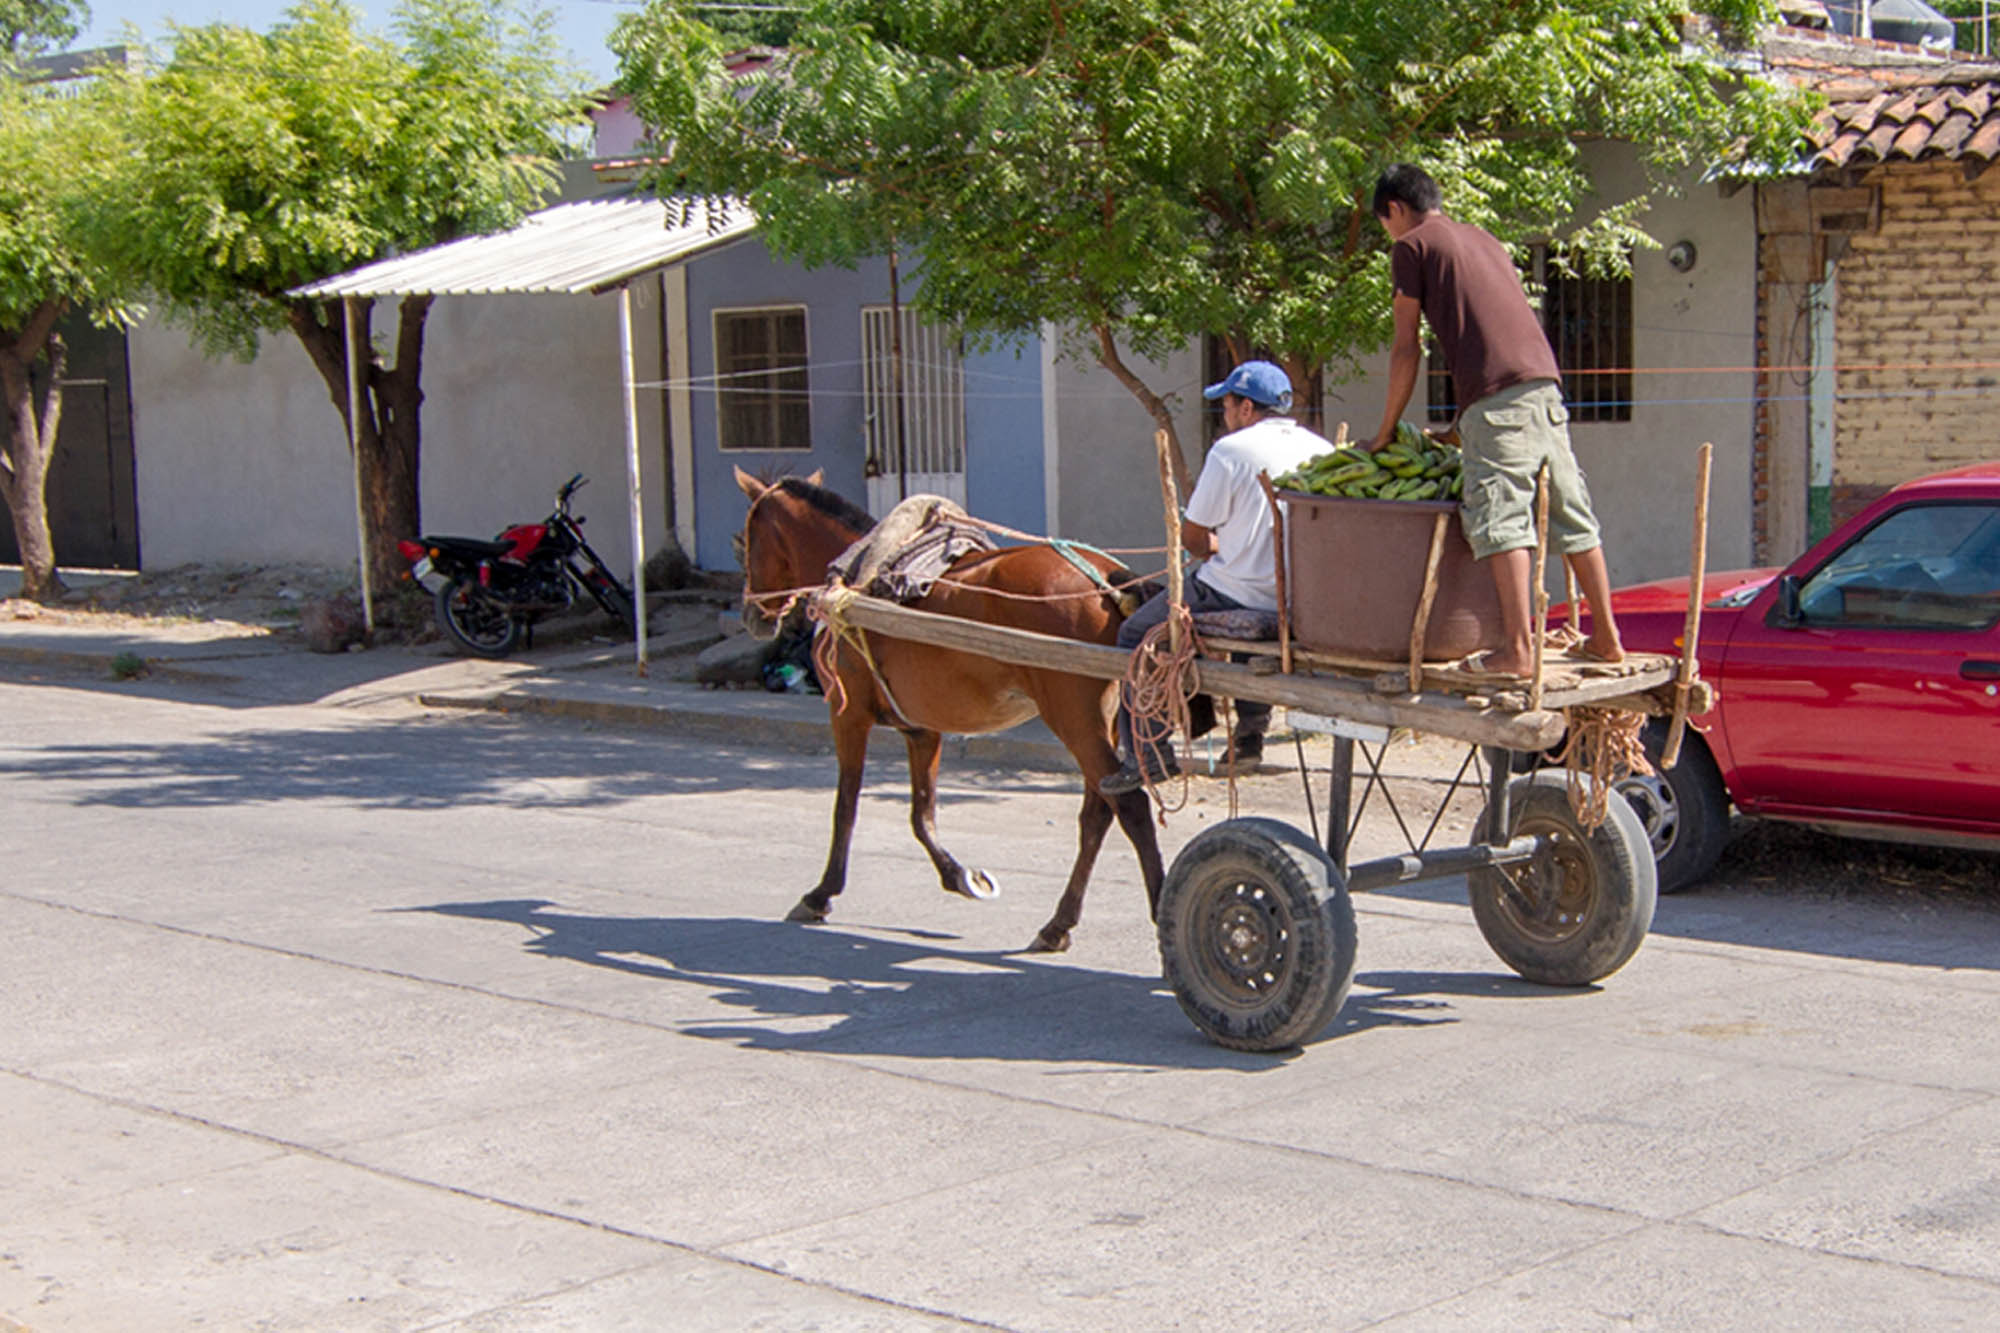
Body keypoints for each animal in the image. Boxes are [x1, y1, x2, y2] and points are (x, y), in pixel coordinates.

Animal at [736, 466, 1168, 944]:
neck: (856, 584)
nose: (752, 615)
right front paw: (959, 876)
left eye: (746, 540)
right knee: (1098, 813)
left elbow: (845, 805)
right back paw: (1058, 924)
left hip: (1075, 720)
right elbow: (921, 813)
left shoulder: (847, 715)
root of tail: (1109, 580)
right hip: (1098, 722)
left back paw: (1161, 914)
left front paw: (821, 893)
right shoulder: (921, 728)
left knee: (1131, 807)